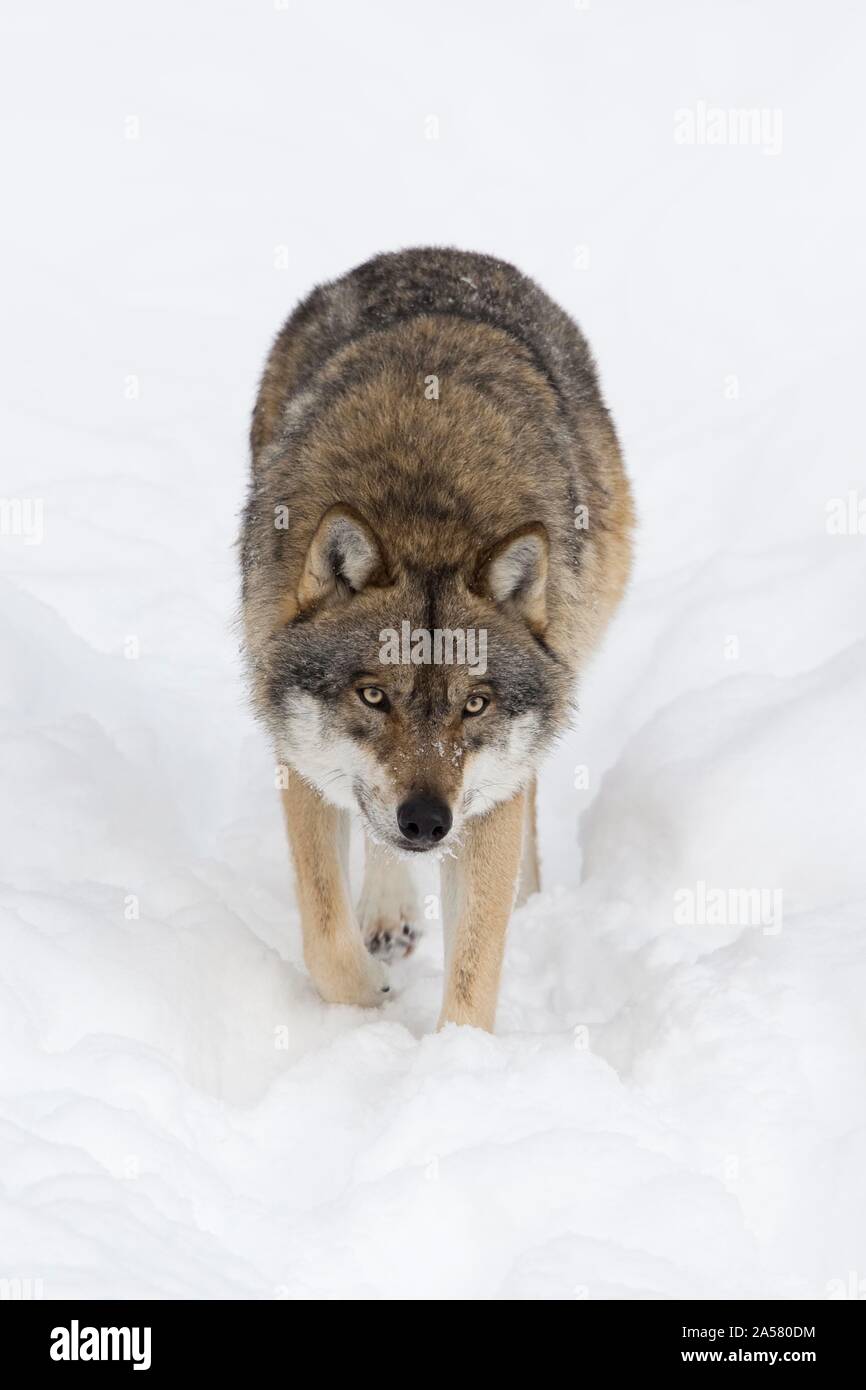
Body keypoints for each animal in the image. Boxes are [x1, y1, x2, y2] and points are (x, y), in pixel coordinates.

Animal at [240, 250, 633, 1034]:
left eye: (474, 705)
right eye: (372, 696)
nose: (426, 821)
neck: (426, 523)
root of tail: (441, 253)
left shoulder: (484, 800)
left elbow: (476, 969)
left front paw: (459, 1061)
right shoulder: (299, 761)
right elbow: (325, 937)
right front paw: (372, 1003)